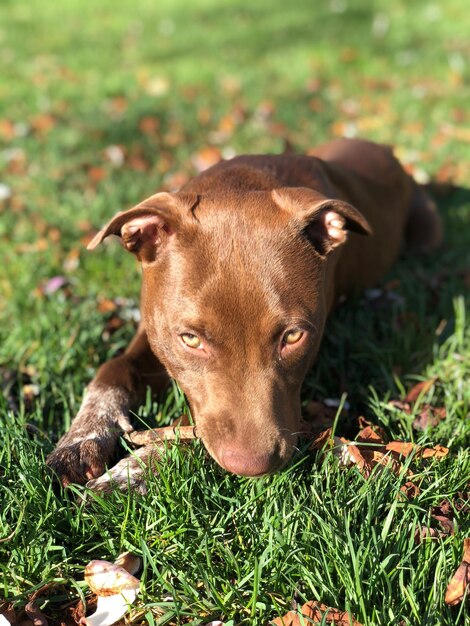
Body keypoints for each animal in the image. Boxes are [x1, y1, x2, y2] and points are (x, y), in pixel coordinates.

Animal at [45, 136, 440, 488]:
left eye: (293, 336)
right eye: (190, 340)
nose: (253, 465)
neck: (243, 181)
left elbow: (189, 426)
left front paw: (134, 471)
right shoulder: (155, 328)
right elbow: (115, 368)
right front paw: (83, 437)